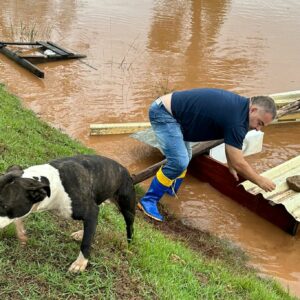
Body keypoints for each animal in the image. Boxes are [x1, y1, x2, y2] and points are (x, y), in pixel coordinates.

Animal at [0, 155, 136, 272]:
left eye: (4, 206)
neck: (54, 183)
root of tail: (128, 173)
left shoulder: (90, 211)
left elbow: (86, 243)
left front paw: (80, 264)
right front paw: (21, 233)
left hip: (127, 208)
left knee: (129, 227)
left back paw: (129, 247)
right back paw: (81, 233)